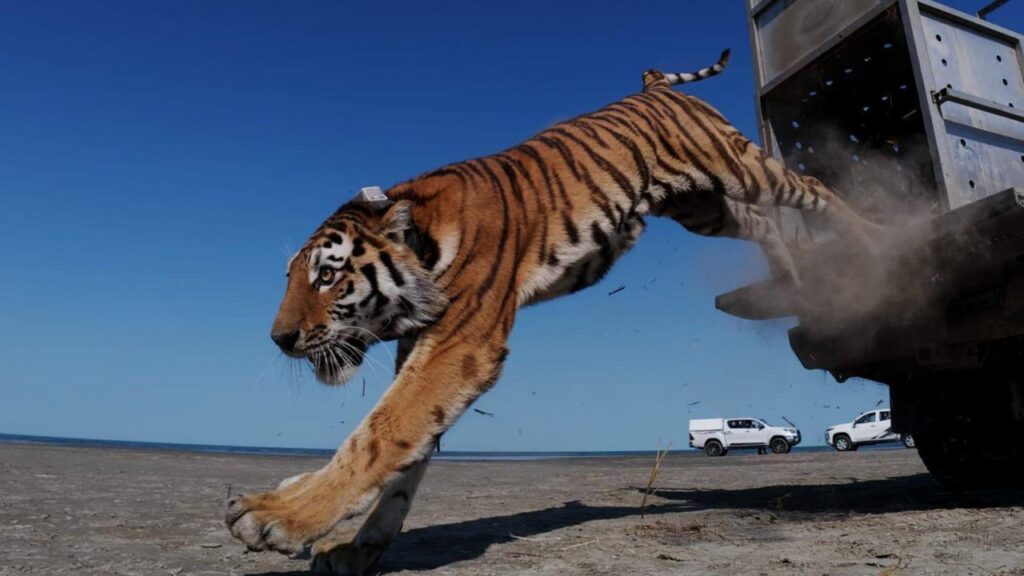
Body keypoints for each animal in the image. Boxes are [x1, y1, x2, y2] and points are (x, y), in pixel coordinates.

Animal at [225, 49, 878, 574]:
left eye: (327, 276)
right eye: (292, 277)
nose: (279, 338)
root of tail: (654, 88)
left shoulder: (461, 344)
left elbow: (379, 433)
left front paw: (276, 514)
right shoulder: (425, 348)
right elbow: (409, 455)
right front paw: (357, 548)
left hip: (738, 165)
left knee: (812, 189)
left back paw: (877, 239)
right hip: (703, 206)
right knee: (762, 222)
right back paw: (790, 276)